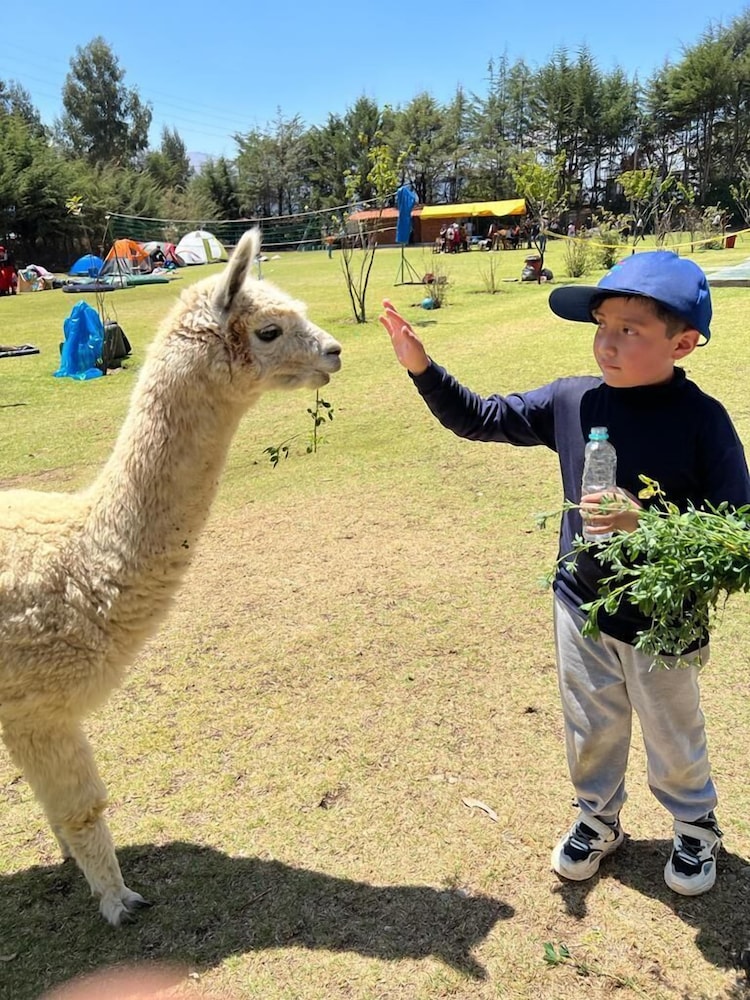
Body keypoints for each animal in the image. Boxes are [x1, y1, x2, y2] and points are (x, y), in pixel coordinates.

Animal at [0, 229, 342, 925]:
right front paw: (118, 901)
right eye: (270, 329)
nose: (335, 351)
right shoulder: (36, 706)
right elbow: (83, 808)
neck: (80, 563)